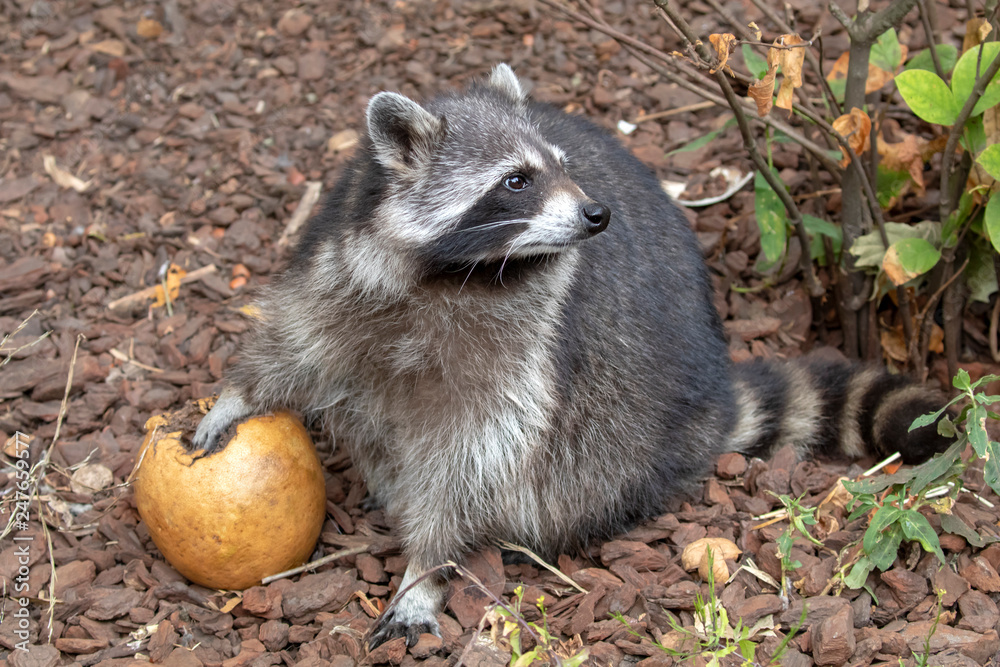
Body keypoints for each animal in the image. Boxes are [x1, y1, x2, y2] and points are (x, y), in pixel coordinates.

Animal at [192, 64, 946, 647]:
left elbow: (474, 453)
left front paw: (429, 565)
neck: (452, 272)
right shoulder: (344, 262)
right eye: (516, 180)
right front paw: (239, 395)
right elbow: (301, 339)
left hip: (623, 428)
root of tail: (706, 405)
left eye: (560, 167)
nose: (596, 215)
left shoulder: (524, 344)